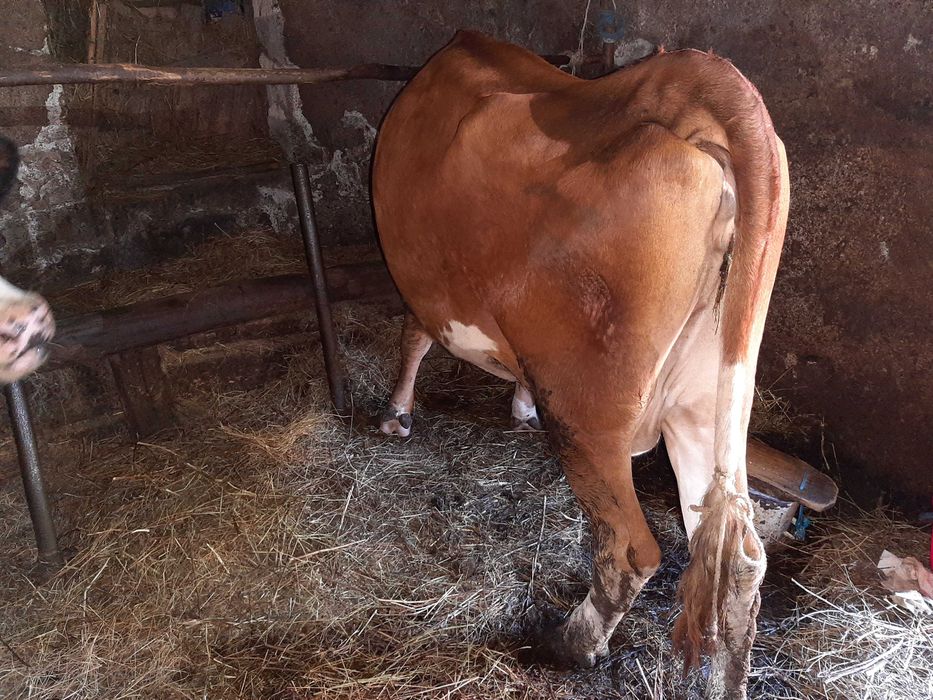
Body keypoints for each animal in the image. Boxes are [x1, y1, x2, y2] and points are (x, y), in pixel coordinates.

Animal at [372, 31, 789, 700]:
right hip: (706, 401)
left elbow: (413, 336)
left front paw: (396, 415)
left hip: (584, 409)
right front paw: (513, 407)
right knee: (738, 560)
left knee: (632, 550)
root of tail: (686, 89)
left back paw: (569, 643)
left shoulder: (421, 283)